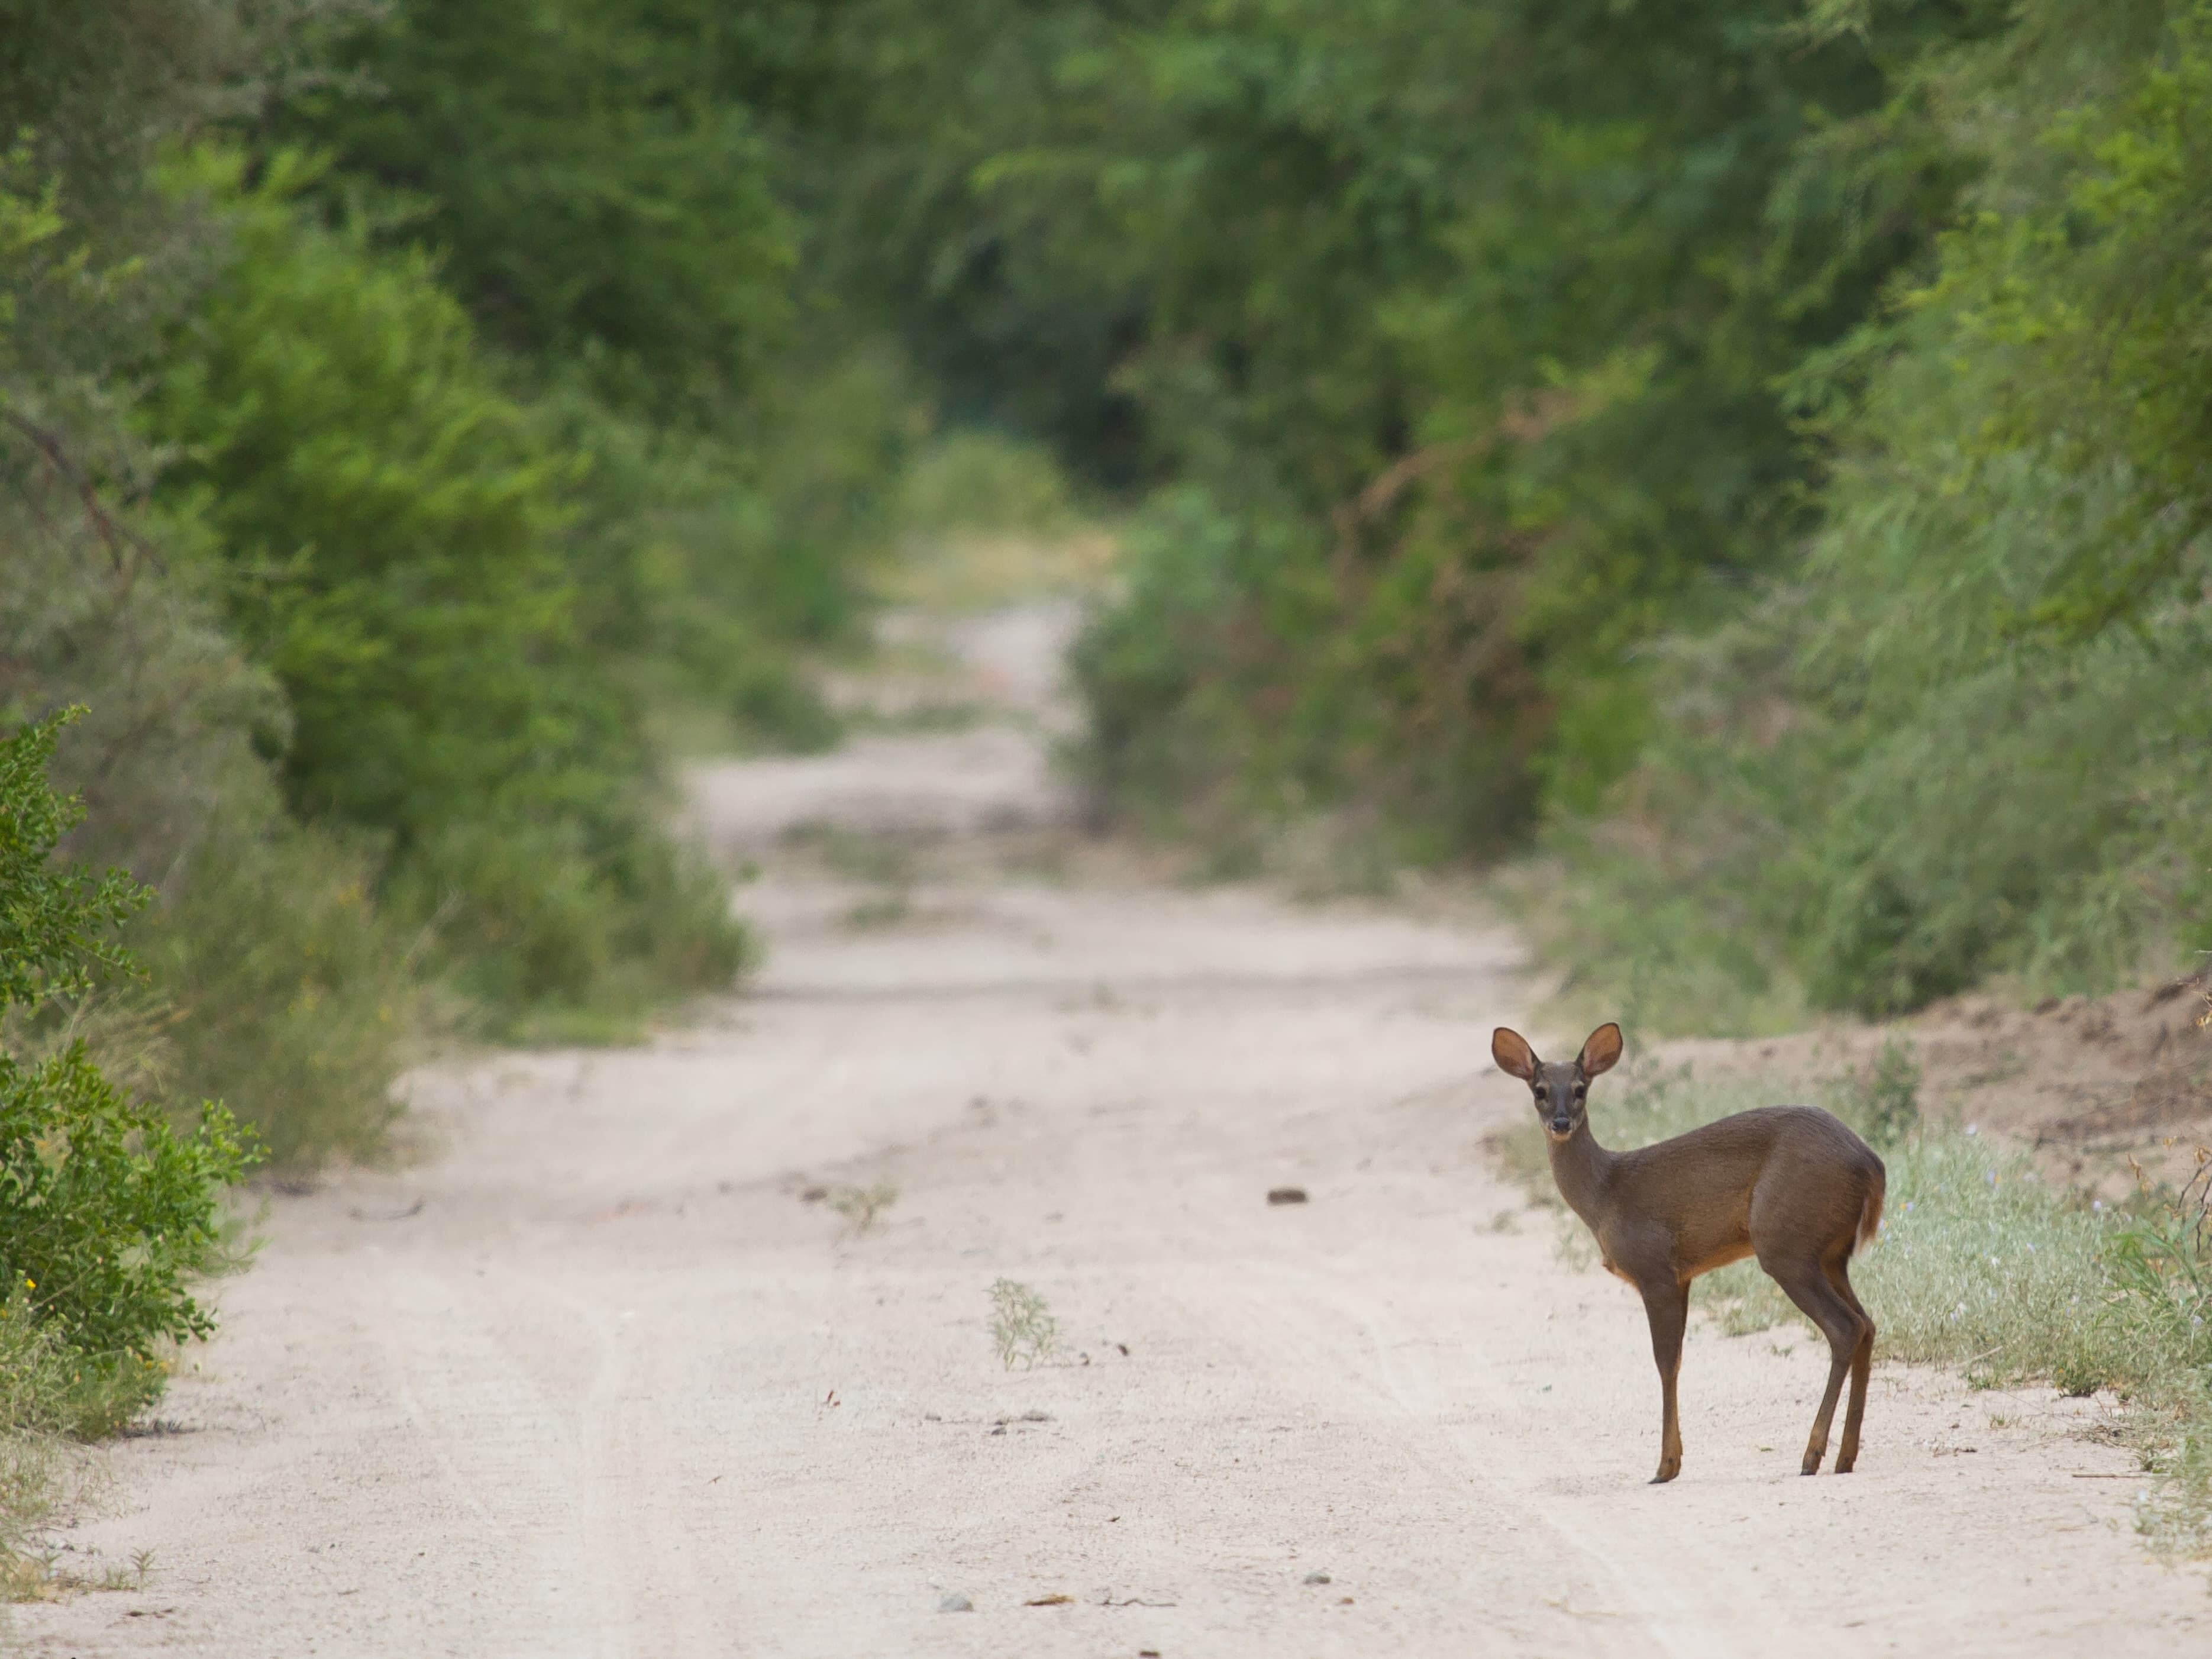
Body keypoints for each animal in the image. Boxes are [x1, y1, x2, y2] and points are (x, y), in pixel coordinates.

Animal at [1495, 1022, 1875, 1486]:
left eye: (1581, 1089)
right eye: (1540, 1090)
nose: (1561, 1122)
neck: (1605, 1195)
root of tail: (1871, 1165)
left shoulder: (1654, 1268)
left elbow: (1664, 1362)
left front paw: (1664, 1465)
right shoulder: (1683, 1276)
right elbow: (1675, 1360)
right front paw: (1673, 1461)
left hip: (1787, 1245)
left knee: (1844, 1326)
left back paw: (1812, 1456)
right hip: (1831, 1255)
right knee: (1867, 1324)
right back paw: (1845, 1457)